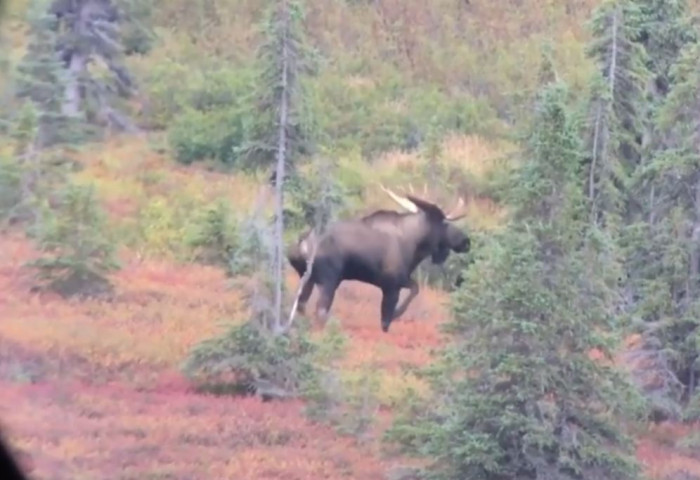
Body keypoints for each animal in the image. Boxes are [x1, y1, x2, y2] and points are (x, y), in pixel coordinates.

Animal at [284, 185, 470, 334]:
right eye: (445, 223)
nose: (466, 241)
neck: (415, 246)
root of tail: (301, 244)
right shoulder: (391, 283)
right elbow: (387, 315)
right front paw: (396, 315)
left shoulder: (397, 281)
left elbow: (413, 290)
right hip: (330, 279)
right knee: (320, 310)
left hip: (308, 278)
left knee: (301, 305)